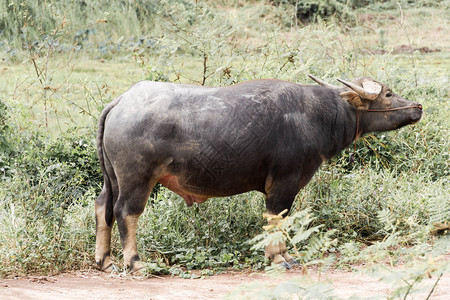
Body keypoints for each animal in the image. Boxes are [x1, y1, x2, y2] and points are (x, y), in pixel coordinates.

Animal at [94, 75, 422, 272]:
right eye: (389, 93)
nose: (417, 106)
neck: (316, 114)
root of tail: (122, 101)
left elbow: (281, 221)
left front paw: (285, 255)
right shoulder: (284, 182)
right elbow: (277, 218)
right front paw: (278, 257)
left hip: (112, 178)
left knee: (103, 206)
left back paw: (105, 260)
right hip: (137, 178)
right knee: (126, 212)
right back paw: (135, 262)